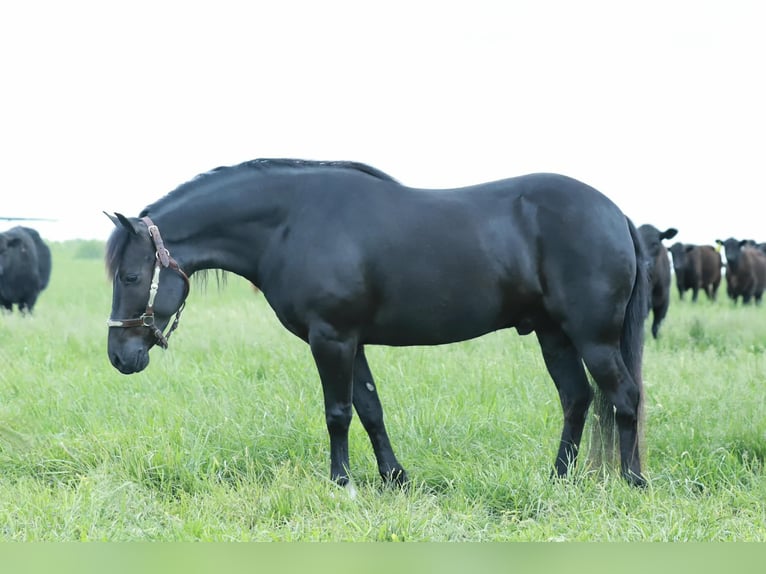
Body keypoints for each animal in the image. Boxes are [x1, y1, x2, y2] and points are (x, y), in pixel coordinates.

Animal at [105, 158, 649, 488]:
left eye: (131, 275)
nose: (119, 357)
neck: (292, 222)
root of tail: (615, 213)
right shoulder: (352, 341)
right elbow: (370, 409)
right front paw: (395, 478)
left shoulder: (331, 339)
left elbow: (338, 413)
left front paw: (341, 482)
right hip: (553, 334)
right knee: (576, 399)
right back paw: (557, 478)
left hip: (594, 338)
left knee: (624, 398)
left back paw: (632, 482)